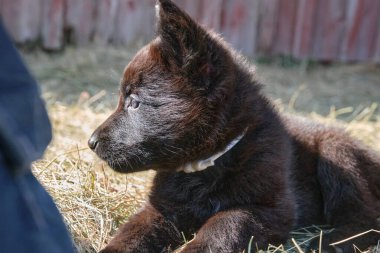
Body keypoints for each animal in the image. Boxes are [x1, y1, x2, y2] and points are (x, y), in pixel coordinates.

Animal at [89, 0, 380, 252]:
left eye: (134, 102)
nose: (91, 142)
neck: (206, 166)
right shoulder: (163, 207)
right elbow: (133, 233)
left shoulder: (268, 209)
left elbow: (222, 227)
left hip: (338, 155)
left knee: (366, 219)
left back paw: (329, 242)